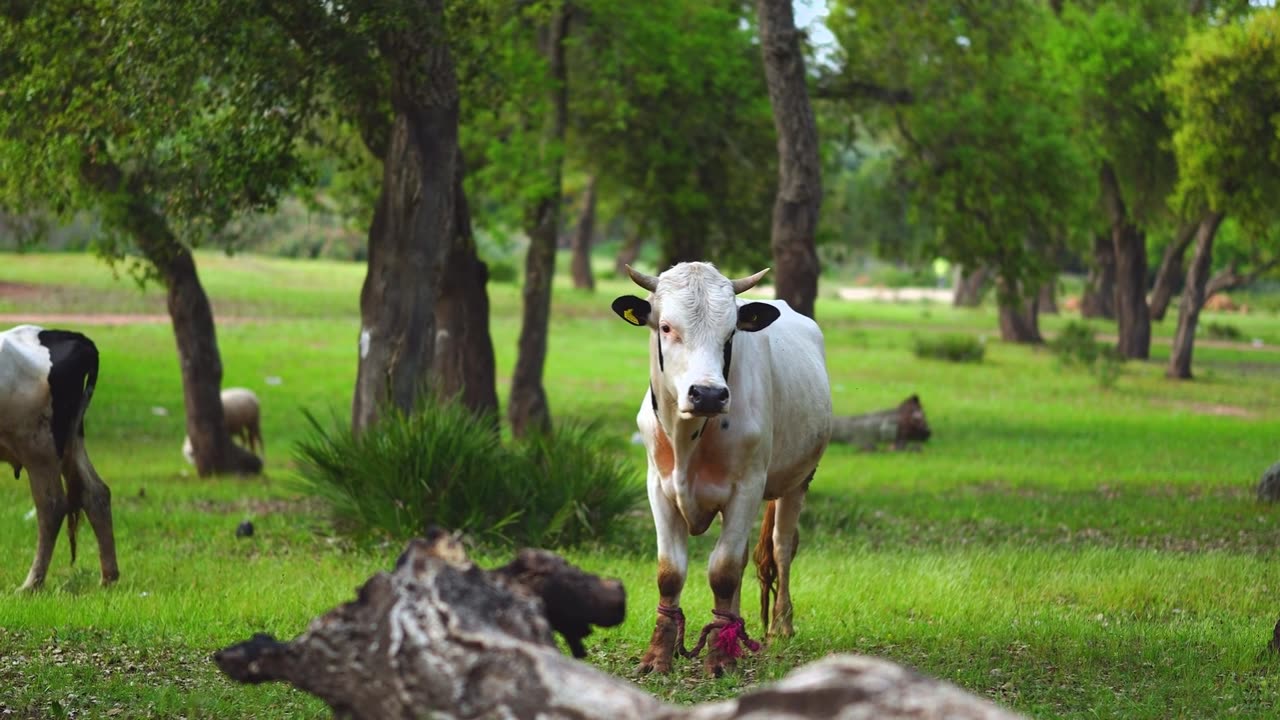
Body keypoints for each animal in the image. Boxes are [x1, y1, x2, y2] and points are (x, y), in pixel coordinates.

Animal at [0, 325, 118, 591]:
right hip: (70, 441)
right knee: (96, 493)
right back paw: (108, 578)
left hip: (40, 447)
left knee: (52, 507)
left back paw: (31, 585)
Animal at [611, 262, 832, 676]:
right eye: (666, 327)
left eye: (730, 333)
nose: (709, 394)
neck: (688, 437)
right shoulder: (658, 487)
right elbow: (671, 572)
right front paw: (658, 656)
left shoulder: (746, 488)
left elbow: (724, 569)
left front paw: (720, 656)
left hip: (798, 481)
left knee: (781, 547)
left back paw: (780, 625)